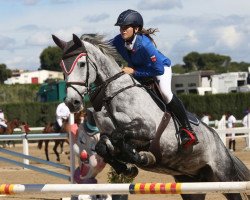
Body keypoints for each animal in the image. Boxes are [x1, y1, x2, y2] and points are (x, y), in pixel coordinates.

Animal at [52, 33, 250, 199]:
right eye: (62, 66)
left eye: (81, 64)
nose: (72, 102)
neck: (112, 95)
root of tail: (222, 145)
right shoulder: (107, 135)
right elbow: (103, 146)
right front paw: (127, 168)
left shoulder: (147, 128)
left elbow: (120, 136)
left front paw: (140, 157)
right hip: (191, 184)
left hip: (224, 177)